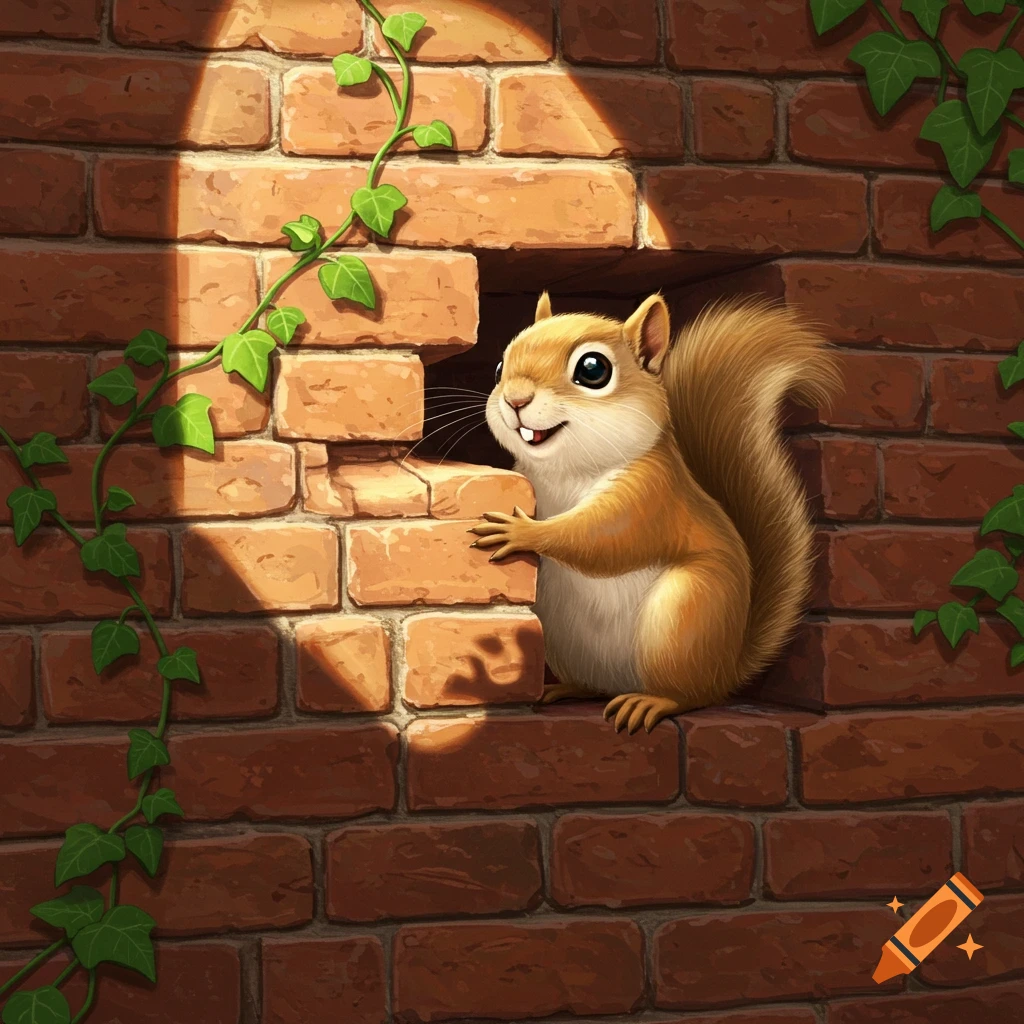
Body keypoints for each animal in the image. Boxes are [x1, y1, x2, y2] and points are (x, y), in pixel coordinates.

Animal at [469, 290, 841, 734]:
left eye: (593, 369)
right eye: (498, 368)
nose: (516, 400)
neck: (566, 470)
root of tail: (727, 668)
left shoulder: (651, 497)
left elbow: (601, 538)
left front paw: (522, 531)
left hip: (683, 616)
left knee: (691, 695)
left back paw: (651, 702)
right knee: (595, 686)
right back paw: (564, 689)